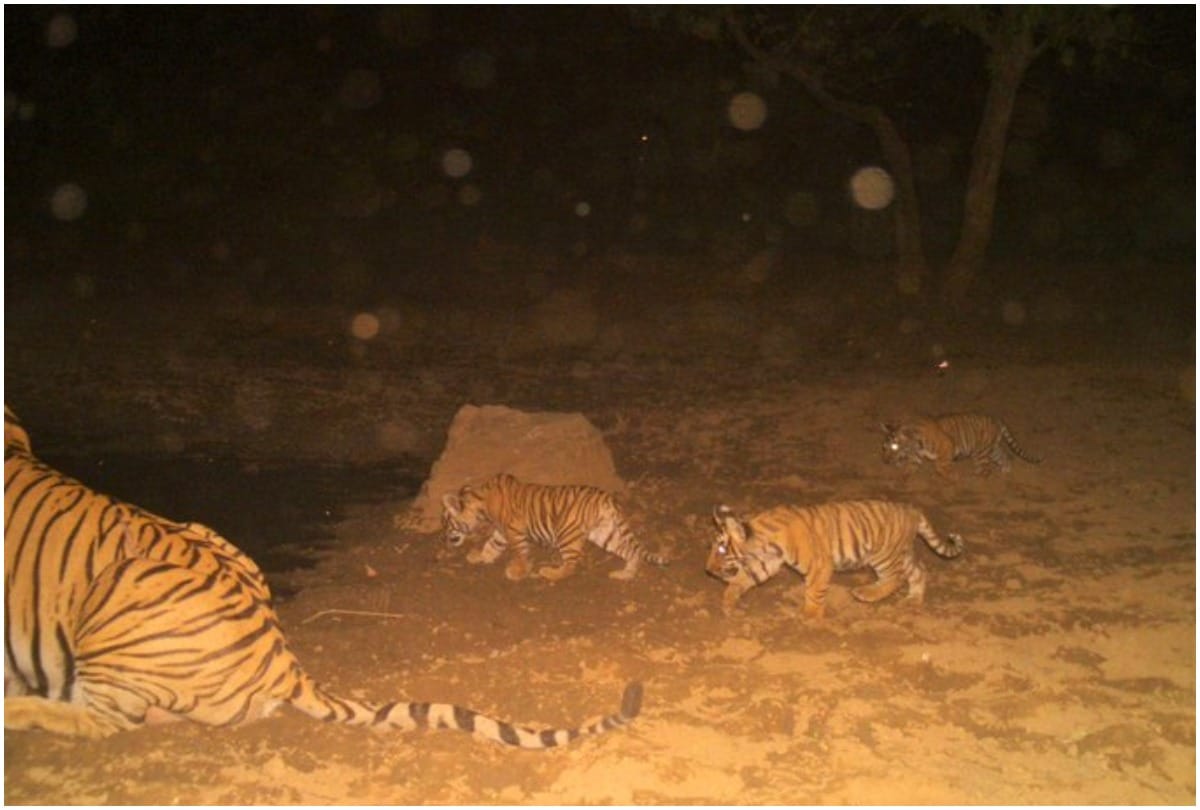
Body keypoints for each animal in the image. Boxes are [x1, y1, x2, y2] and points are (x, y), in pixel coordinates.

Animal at [441, 473, 668, 581]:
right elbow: (491, 545)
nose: (443, 539)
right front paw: (479, 556)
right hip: (604, 533)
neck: (481, 506)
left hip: (566, 534)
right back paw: (625, 575)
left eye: (446, 523)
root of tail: (606, 498)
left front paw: (517, 572)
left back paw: (549, 573)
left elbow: (520, 553)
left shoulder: (514, 531)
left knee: (571, 564)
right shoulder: (501, 532)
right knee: (630, 552)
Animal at [706, 500, 964, 618]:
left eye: (721, 550)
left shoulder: (819, 565)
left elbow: (813, 591)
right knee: (919, 571)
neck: (763, 541)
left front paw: (809, 616)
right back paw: (913, 600)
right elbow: (743, 578)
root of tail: (912, 509)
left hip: (884, 555)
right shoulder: (766, 562)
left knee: (896, 578)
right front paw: (728, 602)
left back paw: (865, 593)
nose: (707, 570)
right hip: (900, 552)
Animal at [880, 413, 1041, 477]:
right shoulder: (916, 457)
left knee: (986, 470)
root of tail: (995, 419)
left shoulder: (947, 446)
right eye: (884, 448)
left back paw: (974, 478)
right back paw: (1006, 471)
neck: (914, 444)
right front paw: (901, 479)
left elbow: (941, 466)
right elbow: (909, 468)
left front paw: (951, 476)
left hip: (981, 452)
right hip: (991, 448)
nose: (885, 461)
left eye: (894, 447)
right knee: (1003, 456)